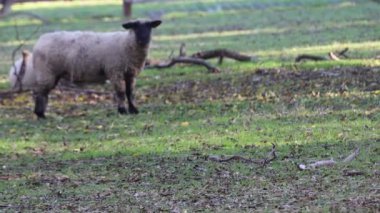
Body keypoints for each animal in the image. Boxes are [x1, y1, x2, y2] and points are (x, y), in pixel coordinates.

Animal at [31, 19, 162, 118]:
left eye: (149, 27)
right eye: (135, 27)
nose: (144, 39)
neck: (127, 43)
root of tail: (39, 41)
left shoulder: (130, 73)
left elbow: (130, 92)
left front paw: (133, 110)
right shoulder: (115, 71)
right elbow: (120, 92)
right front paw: (122, 110)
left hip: (51, 73)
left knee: (44, 92)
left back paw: (41, 114)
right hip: (45, 71)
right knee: (40, 93)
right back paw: (40, 114)